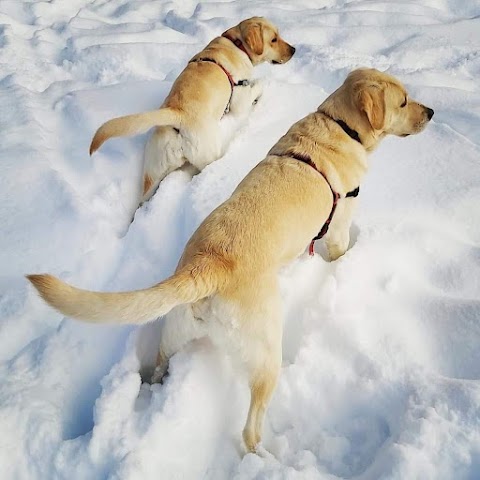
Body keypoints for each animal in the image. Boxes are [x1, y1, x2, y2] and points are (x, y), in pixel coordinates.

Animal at [28, 67, 434, 454]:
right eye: (403, 101)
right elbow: (340, 249)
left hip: (173, 333)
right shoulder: (338, 226)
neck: (340, 126)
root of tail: (207, 266)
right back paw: (266, 458)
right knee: (250, 428)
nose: (430, 112)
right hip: (266, 353)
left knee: (159, 367)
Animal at [88, 16, 294, 204]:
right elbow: (258, 86)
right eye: (274, 39)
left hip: (152, 171)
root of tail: (175, 114)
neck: (237, 44)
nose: (294, 50)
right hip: (208, 153)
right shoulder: (239, 100)